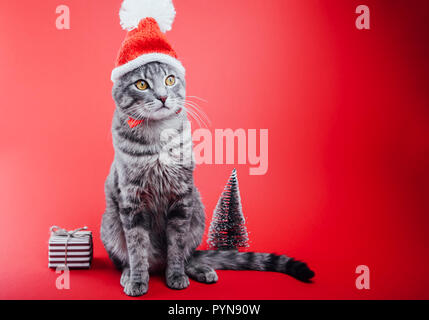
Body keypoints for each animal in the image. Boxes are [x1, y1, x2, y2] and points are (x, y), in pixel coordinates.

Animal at [100, 61, 314, 296]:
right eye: (141, 84)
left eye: (169, 80)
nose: (163, 97)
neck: (158, 137)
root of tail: (157, 264)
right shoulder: (132, 201)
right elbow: (137, 248)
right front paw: (138, 280)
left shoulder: (181, 199)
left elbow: (177, 247)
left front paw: (176, 276)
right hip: (110, 222)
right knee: (127, 258)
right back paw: (129, 274)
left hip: (197, 213)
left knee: (187, 257)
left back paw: (200, 269)